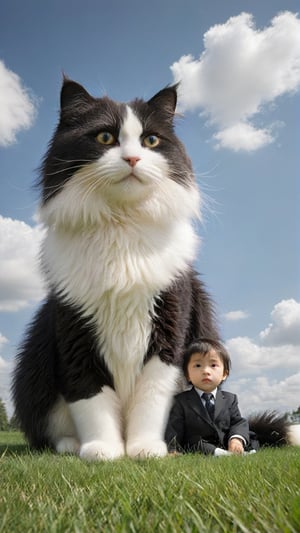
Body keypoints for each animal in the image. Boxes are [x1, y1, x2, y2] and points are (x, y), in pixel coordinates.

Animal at [12, 78, 218, 458]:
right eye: (105, 137)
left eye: (151, 141)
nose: (132, 158)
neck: (122, 224)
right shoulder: (74, 326)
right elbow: (89, 395)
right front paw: (102, 449)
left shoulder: (169, 326)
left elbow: (152, 397)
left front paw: (144, 448)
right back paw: (70, 445)